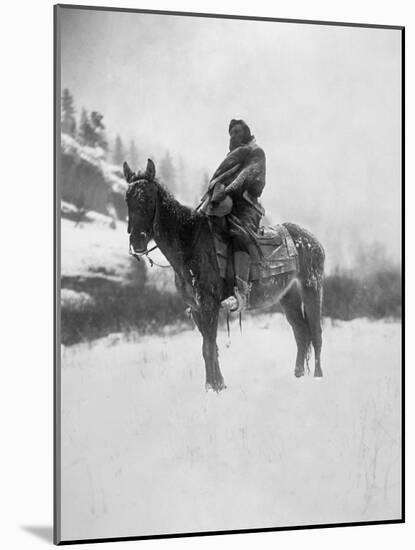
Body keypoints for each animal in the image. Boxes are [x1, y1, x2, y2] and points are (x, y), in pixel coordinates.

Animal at [123, 158, 324, 392]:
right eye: (127, 199)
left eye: (147, 198)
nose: (137, 241)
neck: (190, 244)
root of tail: (312, 240)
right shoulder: (197, 308)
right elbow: (209, 347)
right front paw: (217, 384)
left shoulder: (209, 305)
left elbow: (209, 347)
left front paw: (212, 387)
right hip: (288, 296)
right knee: (301, 333)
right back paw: (298, 375)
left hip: (312, 288)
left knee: (316, 332)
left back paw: (318, 376)